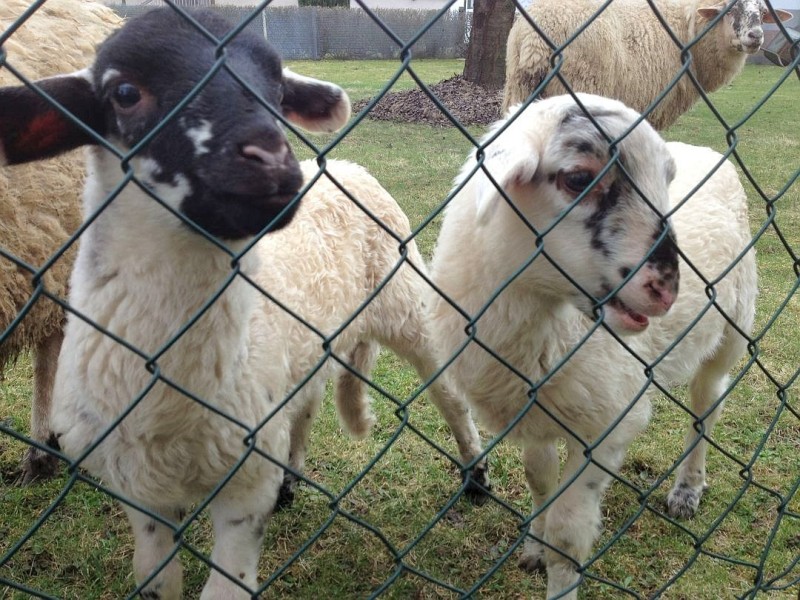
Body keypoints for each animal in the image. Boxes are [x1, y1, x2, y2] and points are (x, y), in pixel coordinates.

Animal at [424, 96, 756, 596]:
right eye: (578, 179)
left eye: (665, 178)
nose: (668, 287)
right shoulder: (532, 412)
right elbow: (538, 479)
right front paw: (534, 546)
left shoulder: (606, 425)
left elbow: (568, 531)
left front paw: (557, 573)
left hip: (732, 325)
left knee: (708, 401)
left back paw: (687, 488)